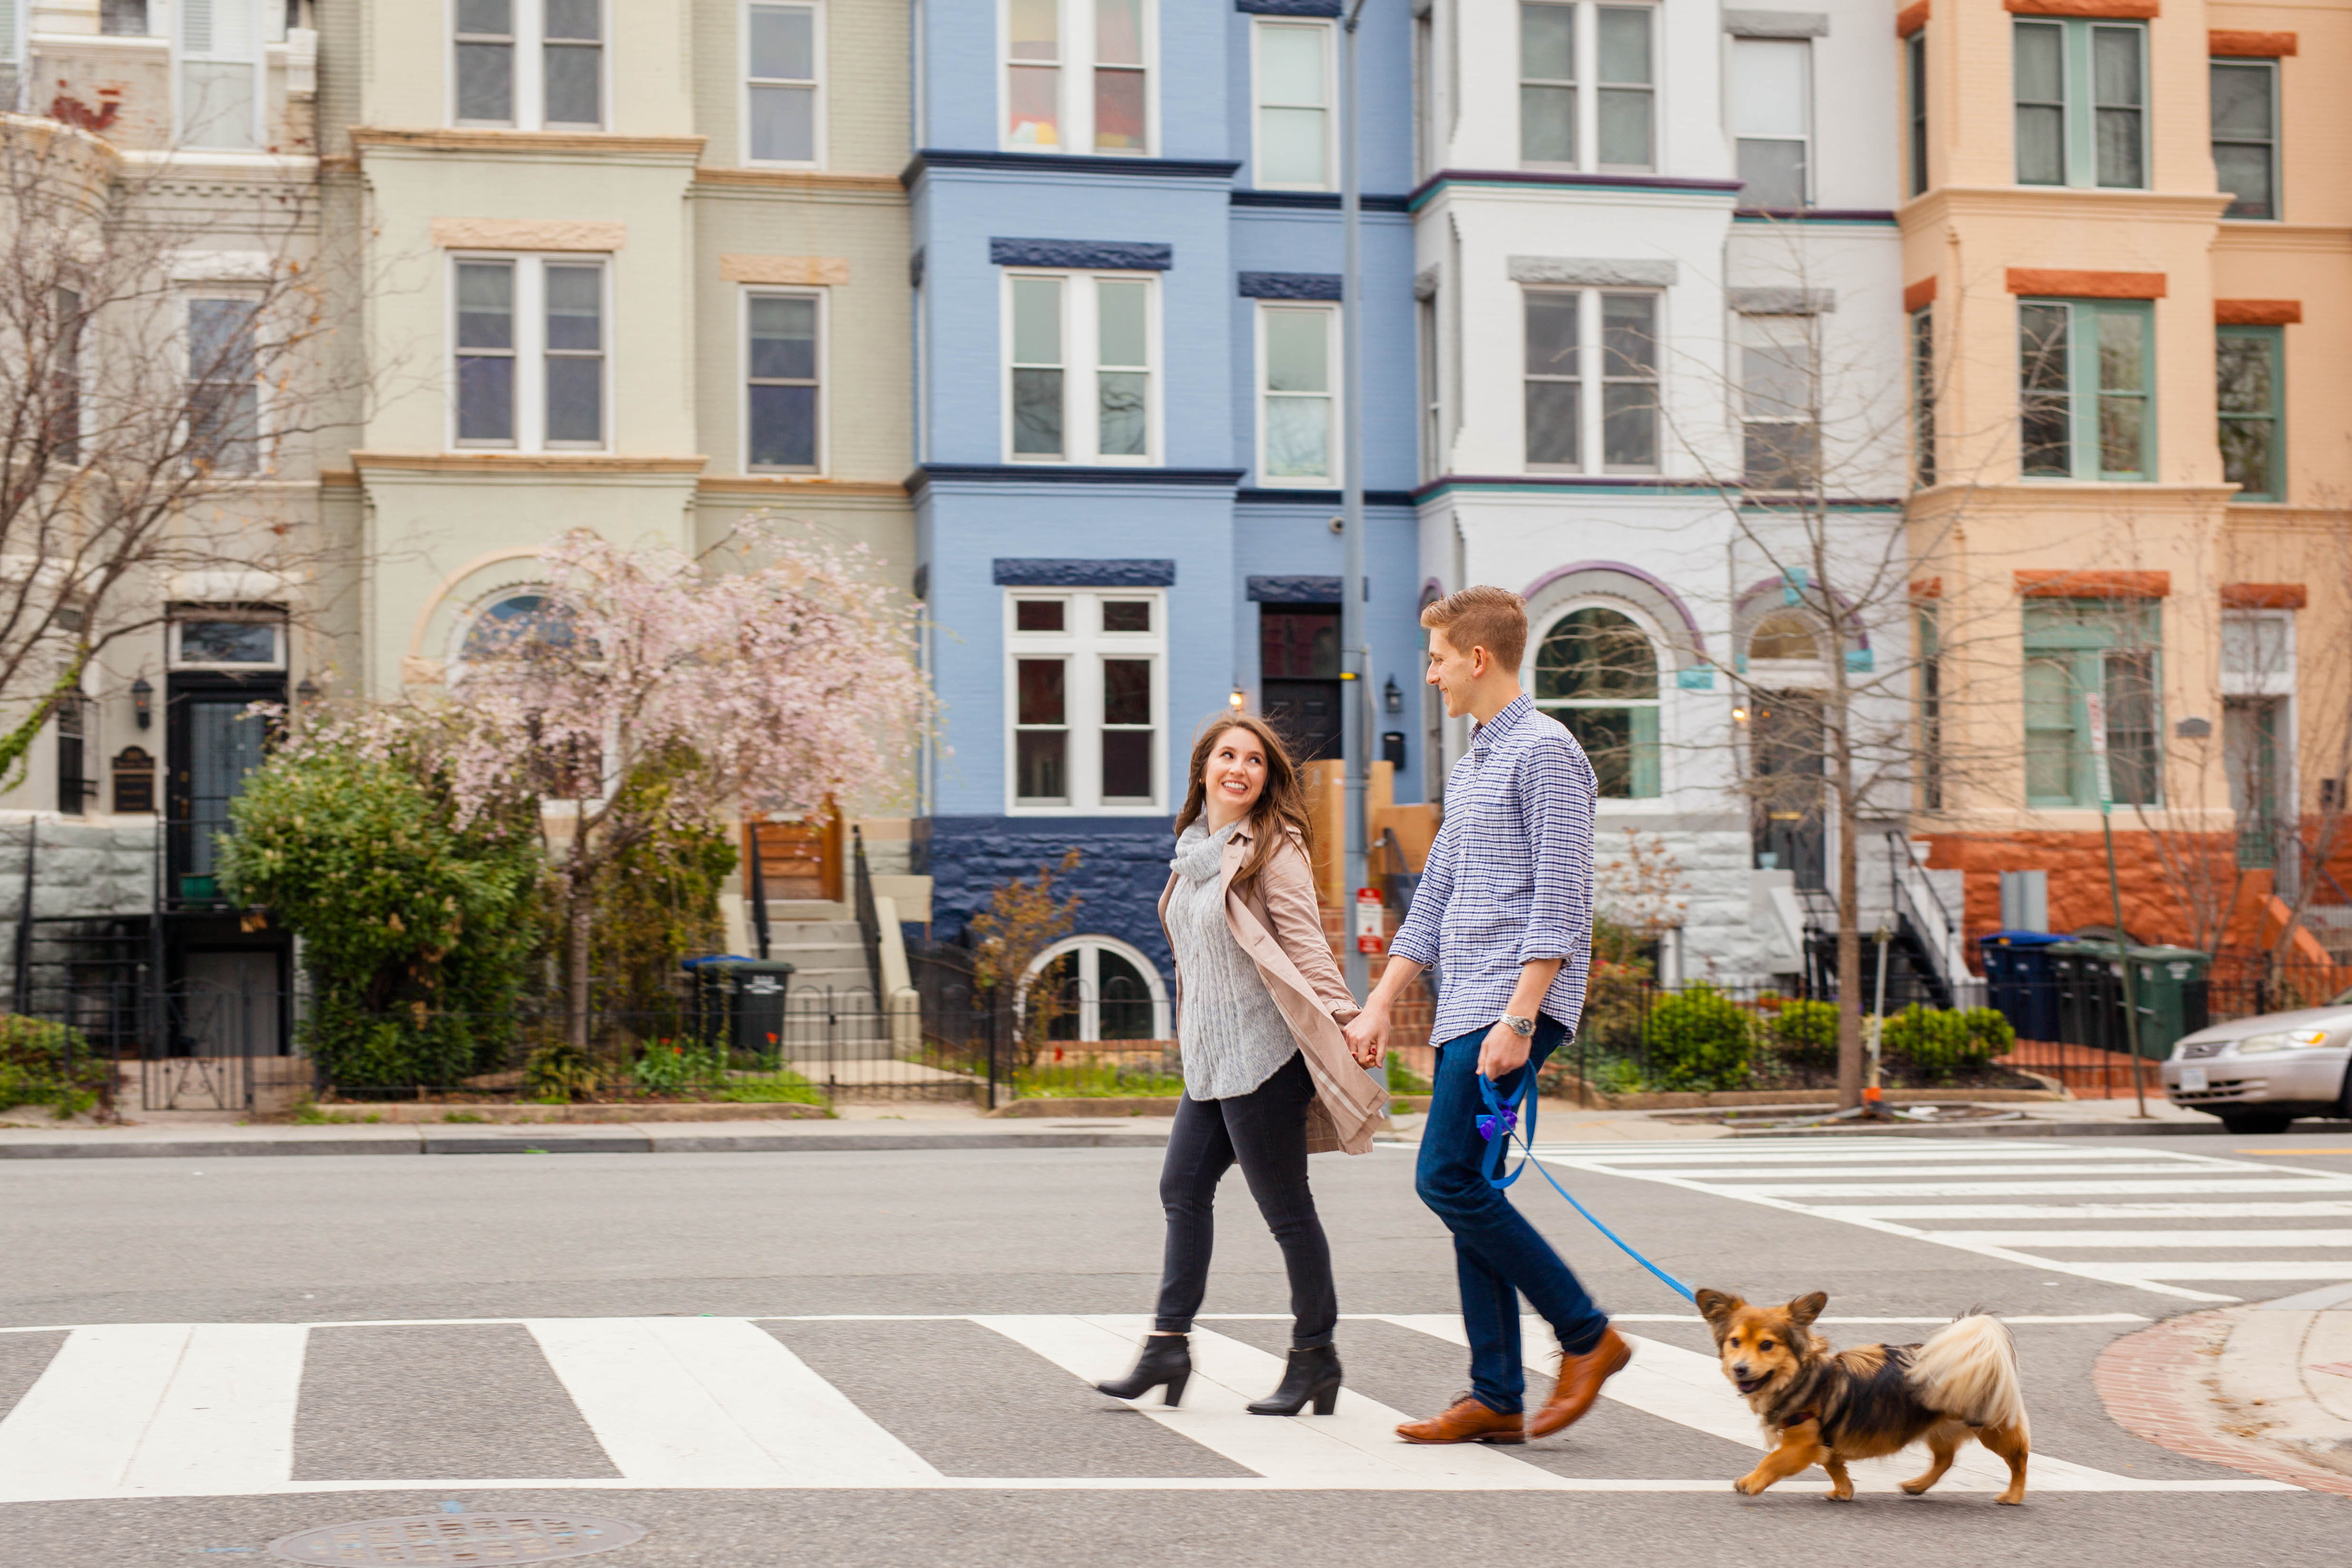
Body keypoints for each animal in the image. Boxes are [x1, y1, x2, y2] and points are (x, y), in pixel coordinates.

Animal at [1703, 1298, 2032, 1505]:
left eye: (1767, 1345)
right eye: (1735, 1342)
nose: (1740, 1368)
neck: (1805, 1376)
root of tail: (1978, 1356)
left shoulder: (1801, 1446)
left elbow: (1772, 1461)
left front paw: (1751, 1482)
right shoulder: (1825, 1443)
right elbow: (1835, 1466)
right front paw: (1844, 1491)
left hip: (1993, 1428)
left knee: (2019, 1459)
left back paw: (2013, 1496)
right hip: (1937, 1427)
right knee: (1945, 1458)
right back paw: (1917, 1485)